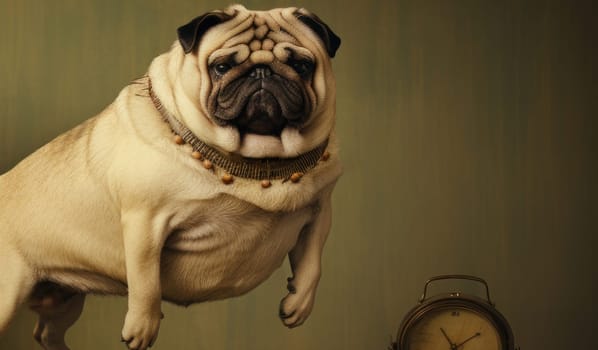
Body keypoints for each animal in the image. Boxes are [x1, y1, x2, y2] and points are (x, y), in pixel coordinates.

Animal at [0, 5, 342, 350]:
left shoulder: (321, 212)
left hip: (63, 299)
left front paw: (299, 303)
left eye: (301, 65)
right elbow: (146, 283)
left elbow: (312, 264)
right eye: (222, 67)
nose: (262, 73)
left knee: (46, 332)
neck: (258, 163)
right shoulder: (145, 224)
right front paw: (142, 327)